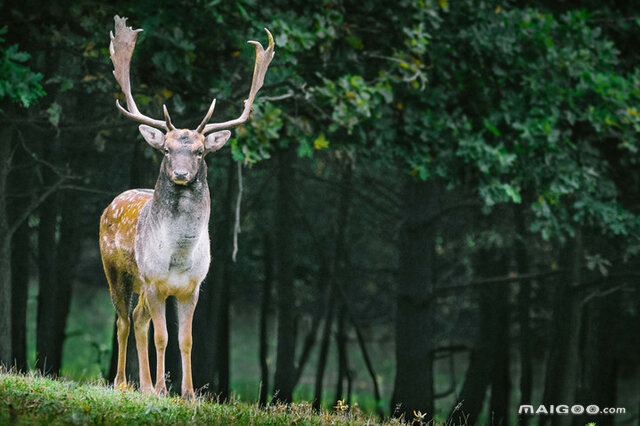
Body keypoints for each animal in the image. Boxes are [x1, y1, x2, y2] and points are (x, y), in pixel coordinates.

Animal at [99, 14, 274, 400]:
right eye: (166, 149)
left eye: (200, 151)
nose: (180, 173)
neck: (178, 257)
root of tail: (111, 203)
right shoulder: (153, 282)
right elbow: (162, 337)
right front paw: (163, 389)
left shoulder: (192, 287)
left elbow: (186, 339)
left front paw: (189, 393)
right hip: (115, 271)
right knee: (122, 320)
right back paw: (122, 382)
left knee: (137, 320)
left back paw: (143, 385)